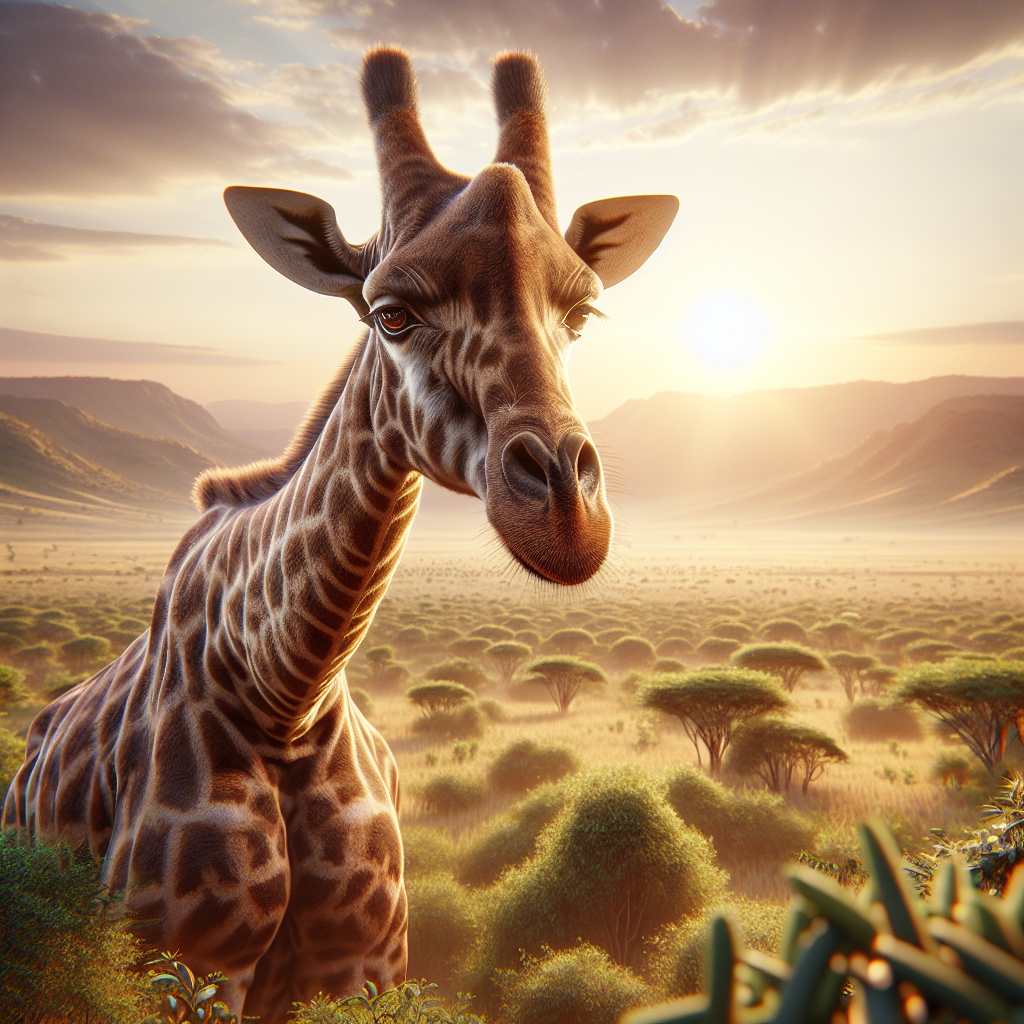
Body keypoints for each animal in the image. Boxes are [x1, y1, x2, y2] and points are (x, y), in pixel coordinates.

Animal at [2, 48, 677, 1022]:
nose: (568, 522)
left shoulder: (360, 965)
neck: (283, 687)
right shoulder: (182, 966)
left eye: (581, 315)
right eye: (389, 313)